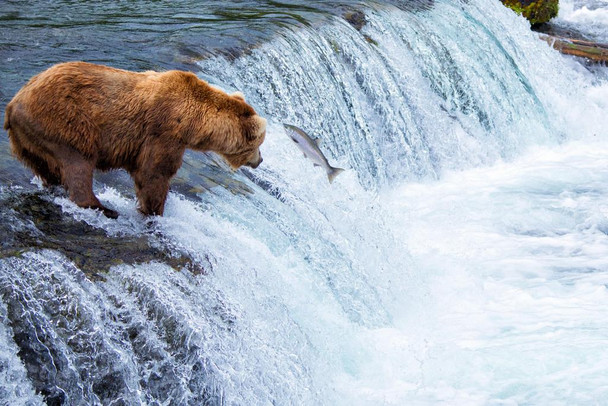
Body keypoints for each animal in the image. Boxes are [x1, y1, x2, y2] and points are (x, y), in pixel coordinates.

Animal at [3, 60, 266, 217]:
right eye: (259, 143)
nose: (260, 160)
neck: (194, 124)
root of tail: (14, 102)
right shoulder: (164, 133)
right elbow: (154, 173)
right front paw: (154, 210)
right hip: (64, 123)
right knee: (78, 164)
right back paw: (103, 208)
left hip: (29, 140)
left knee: (47, 168)